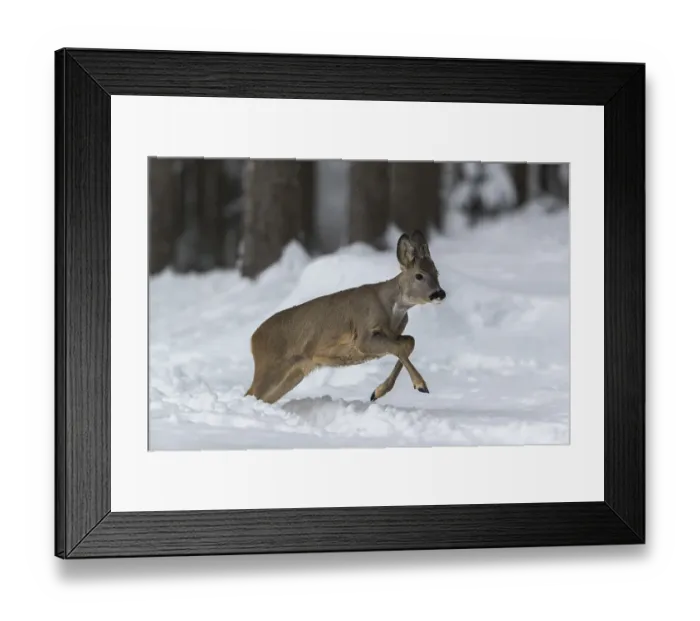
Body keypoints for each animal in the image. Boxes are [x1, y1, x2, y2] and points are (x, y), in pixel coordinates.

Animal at [244, 230, 447, 405]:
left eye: (437, 272)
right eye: (419, 275)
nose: (439, 293)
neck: (390, 307)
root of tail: (253, 338)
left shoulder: (393, 334)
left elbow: (409, 342)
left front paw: (377, 392)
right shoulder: (363, 336)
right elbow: (398, 348)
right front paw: (421, 385)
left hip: (295, 373)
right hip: (270, 365)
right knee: (251, 392)